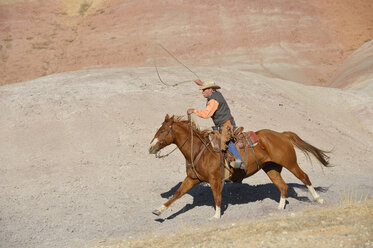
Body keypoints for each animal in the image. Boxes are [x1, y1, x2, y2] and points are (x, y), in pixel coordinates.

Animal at [148, 114, 328, 219]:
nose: (150, 148)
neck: (199, 150)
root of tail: (282, 135)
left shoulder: (215, 180)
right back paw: (280, 207)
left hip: (290, 163)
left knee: (304, 177)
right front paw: (159, 210)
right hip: (271, 168)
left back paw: (319, 199)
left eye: (163, 131)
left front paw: (216, 216)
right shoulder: (192, 179)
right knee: (283, 186)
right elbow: (177, 194)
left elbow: (217, 197)